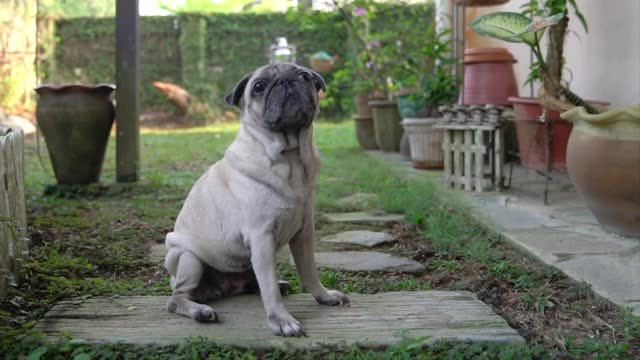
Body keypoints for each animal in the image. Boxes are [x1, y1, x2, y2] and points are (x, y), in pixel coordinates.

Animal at [162, 62, 348, 338]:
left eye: (304, 76)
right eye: (259, 86)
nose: (287, 80)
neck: (289, 158)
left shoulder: (304, 233)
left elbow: (309, 272)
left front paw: (324, 296)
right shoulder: (261, 237)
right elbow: (268, 288)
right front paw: (281, 320)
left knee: (253, 282)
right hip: (189, 260)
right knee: (177, 298)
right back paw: (200, 311)